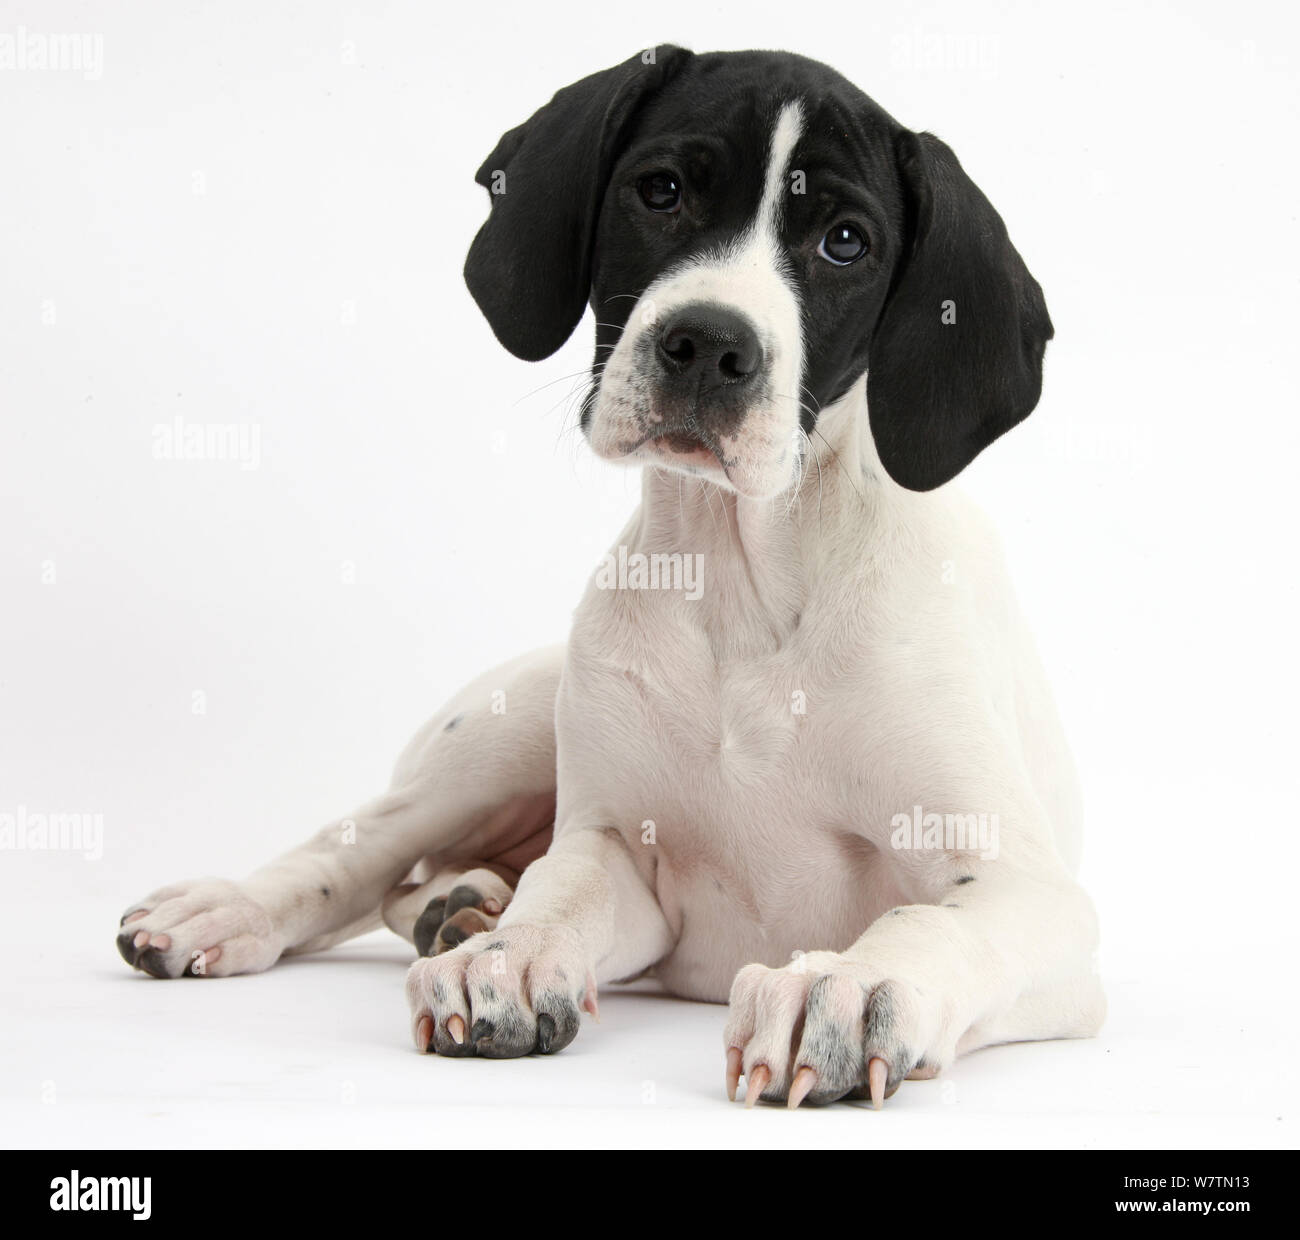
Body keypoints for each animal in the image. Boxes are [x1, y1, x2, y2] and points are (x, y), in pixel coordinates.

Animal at [116, 50, 1102, 1112]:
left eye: (846, 242)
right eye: (659, 190)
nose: (708, 344)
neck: (743, 578)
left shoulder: (1031, 894)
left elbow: (930, 923)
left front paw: (847, 984)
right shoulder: (620, 856)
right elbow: (563, 890)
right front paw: (510, 954)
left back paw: (463, 902)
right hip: (507, 728)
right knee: (363, 847)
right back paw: (252, 910)